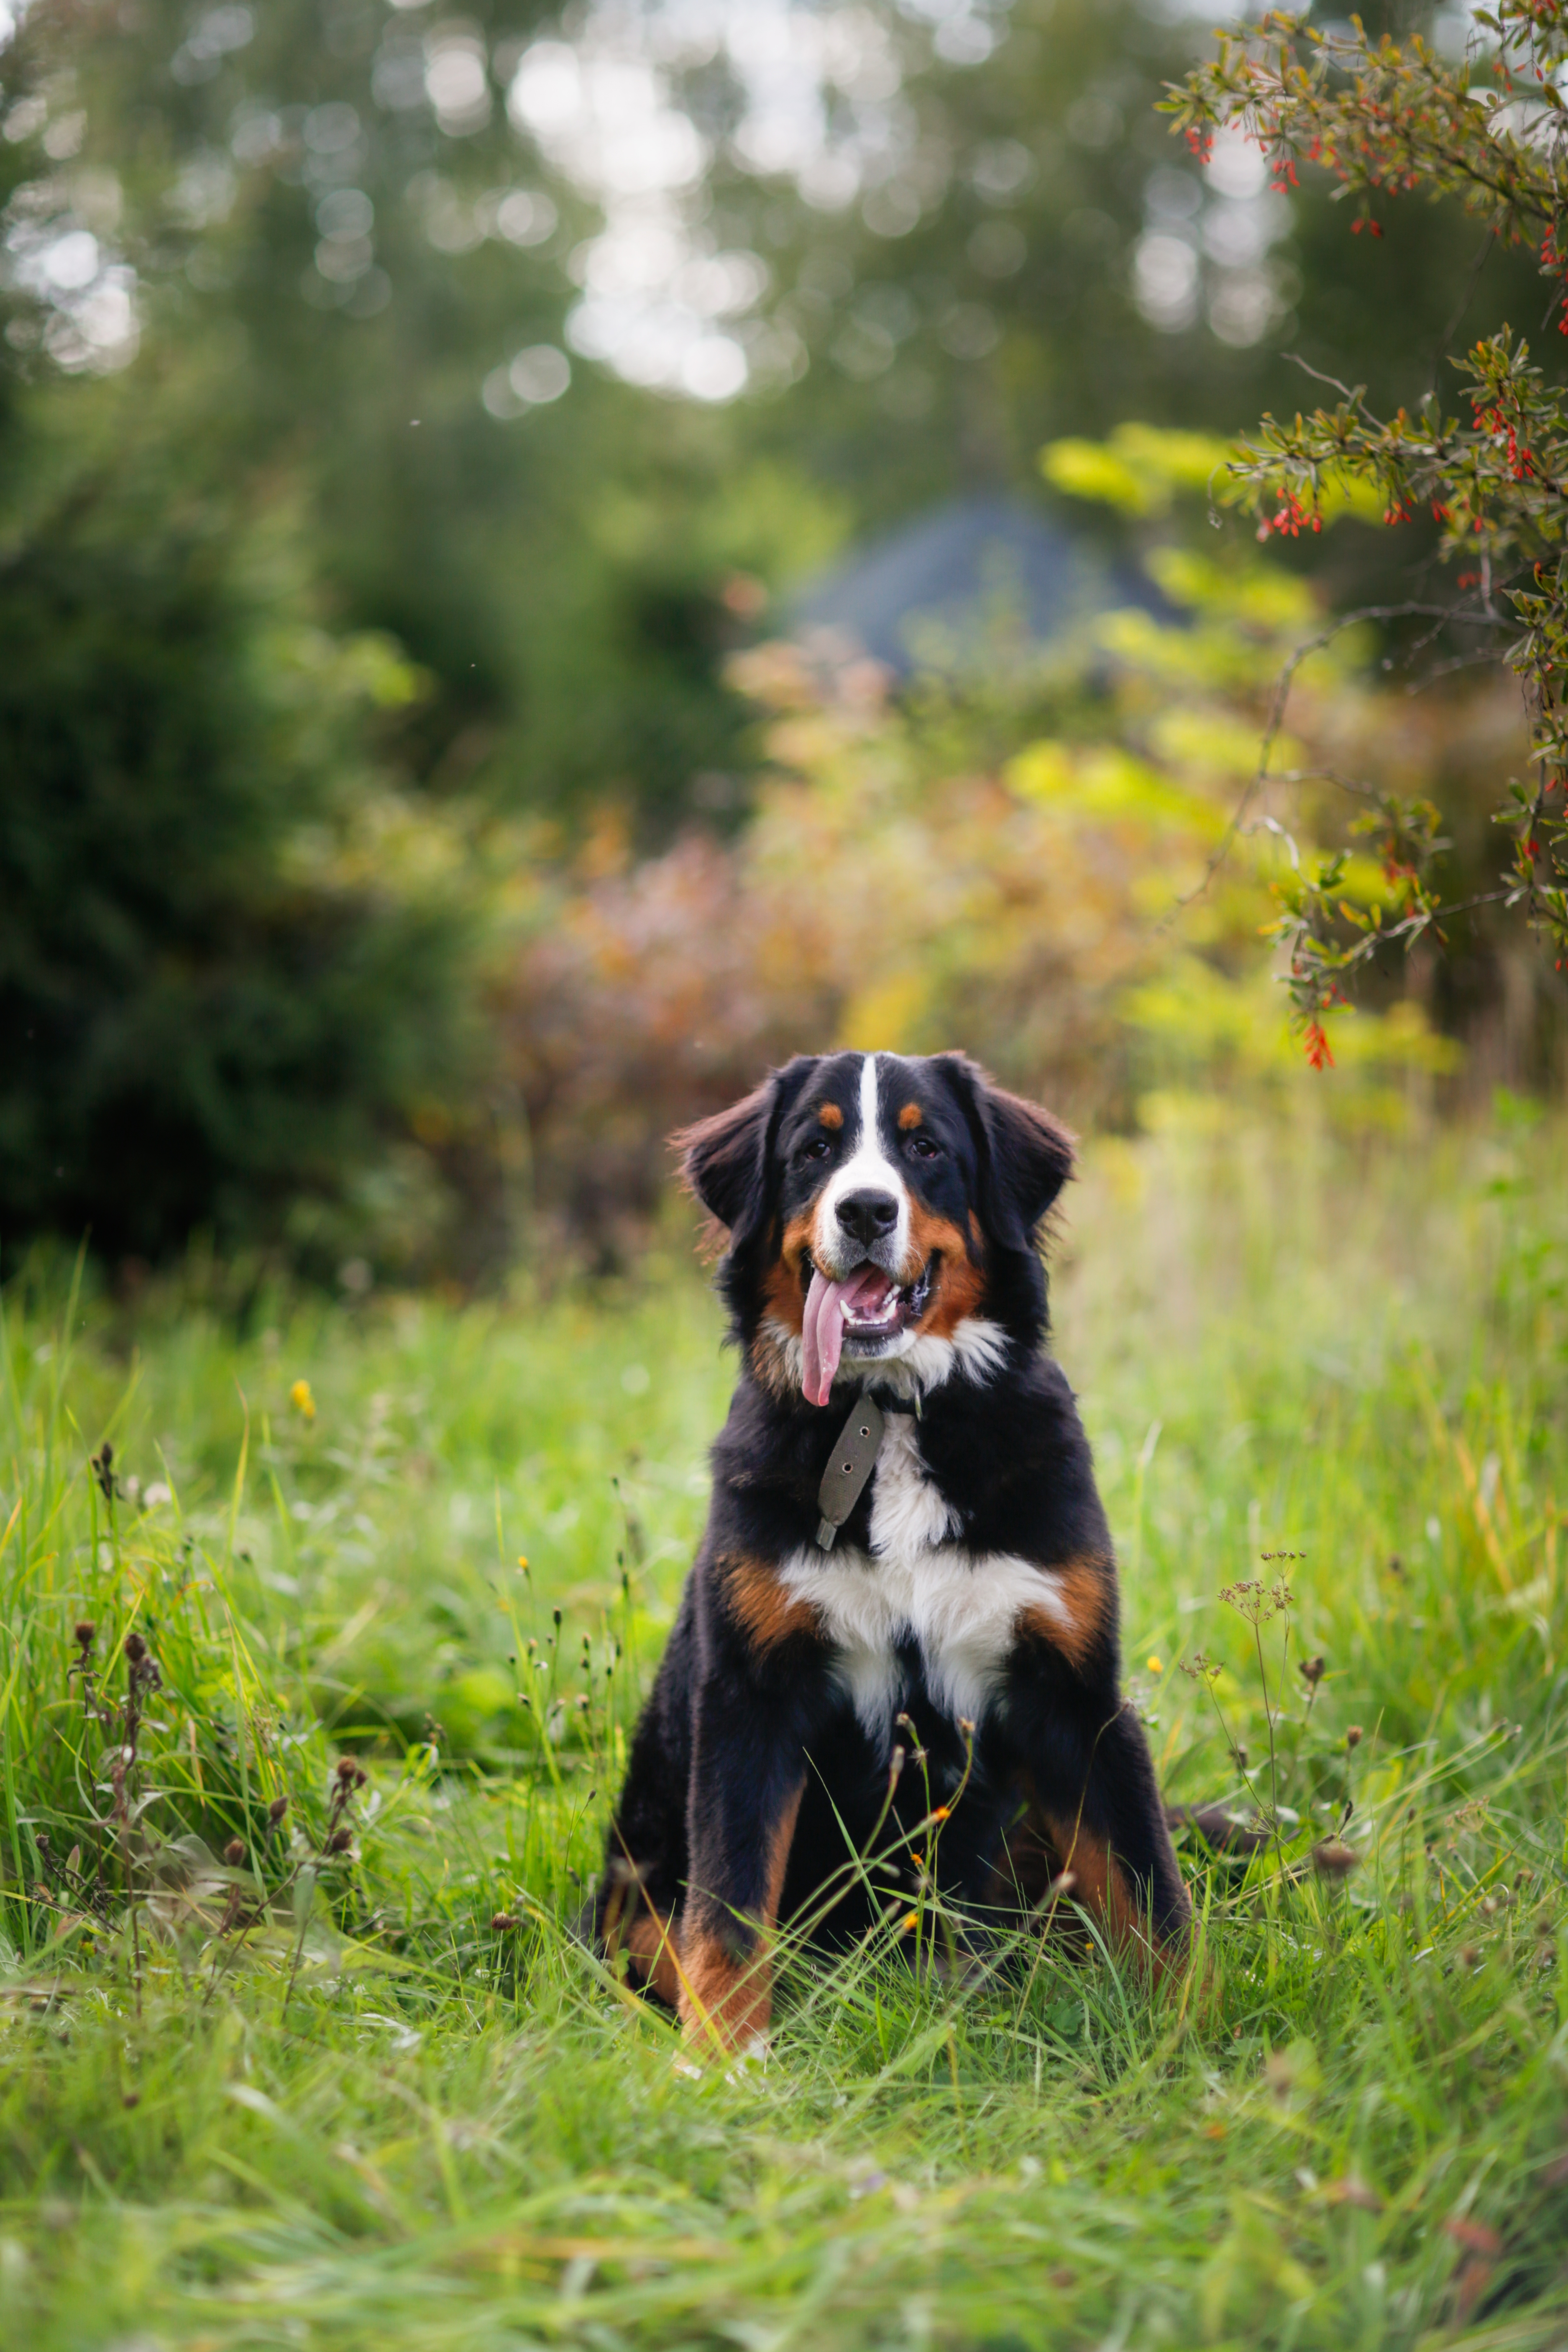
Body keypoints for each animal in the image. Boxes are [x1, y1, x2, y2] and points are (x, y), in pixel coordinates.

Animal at [588, 1054, 1189, 2060]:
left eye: (924, 1146)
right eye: (813, 1148)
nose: (864, 1209)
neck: (890, 1415)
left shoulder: (1073, 1694)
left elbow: (1154, 1894)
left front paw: (1200, 2041)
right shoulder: (752, 1696)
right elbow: (727, 1905)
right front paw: (725, 2063)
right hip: (631, 1889)